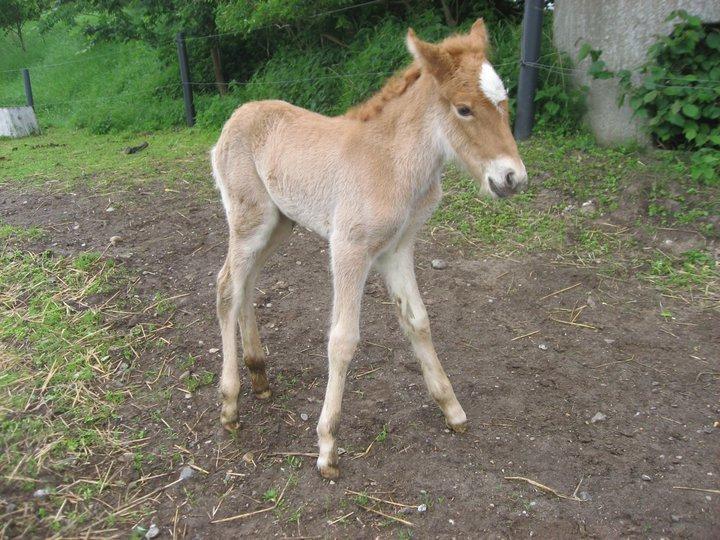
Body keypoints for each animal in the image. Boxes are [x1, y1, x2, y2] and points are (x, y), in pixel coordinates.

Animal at [214, 19, 528, 478]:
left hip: (279, 223)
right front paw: (327, 446)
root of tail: (236, 115)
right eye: (463, 109)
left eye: (504, 101)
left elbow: (418, 320)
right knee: (227, 289)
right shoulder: (349, 249)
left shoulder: (398, 250)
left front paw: (452, 409)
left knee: (247, 283)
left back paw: (260, 376)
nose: (512, 178)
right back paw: (231, 403)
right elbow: (343, 339)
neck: (393, 162)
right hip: (249, 220)